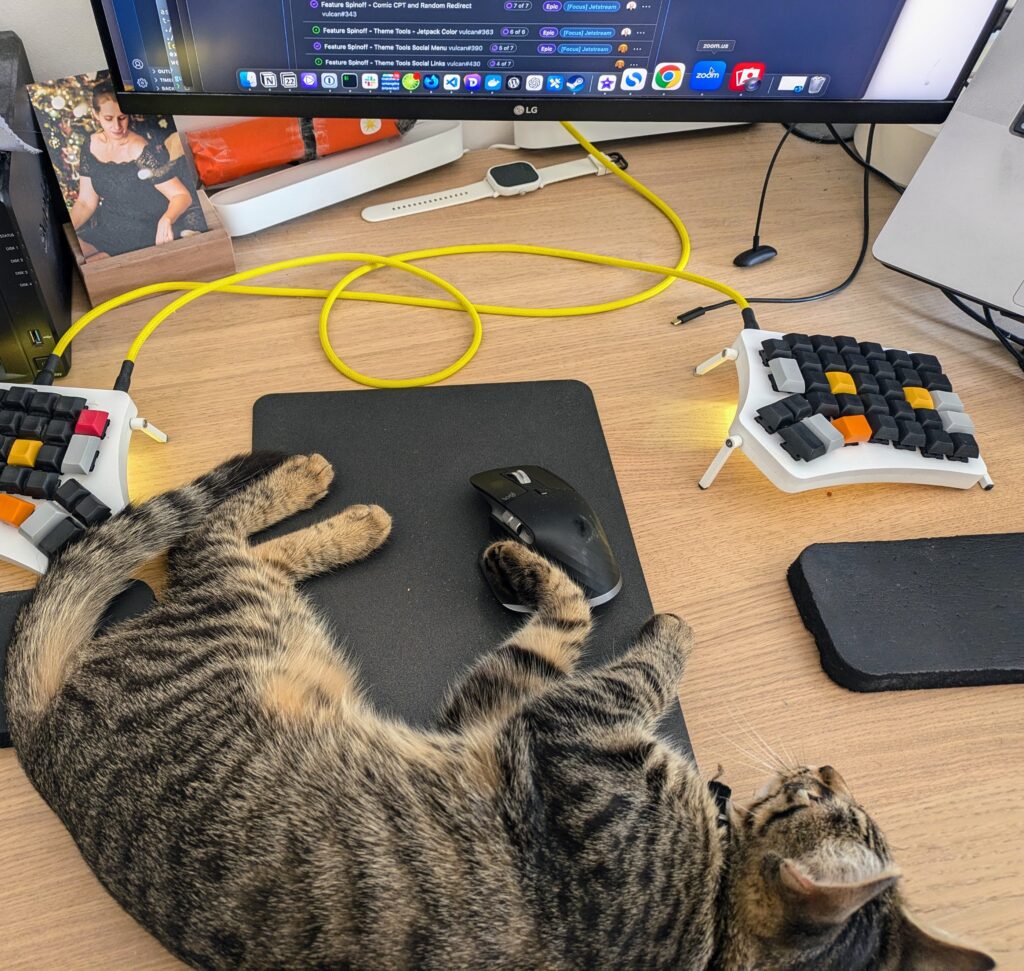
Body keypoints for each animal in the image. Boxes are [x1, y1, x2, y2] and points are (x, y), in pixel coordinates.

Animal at [4, 454, 995, 971]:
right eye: (839, 803)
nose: (825, 766)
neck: (709, 922)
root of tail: (42, 737)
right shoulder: (522, 714)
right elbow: (578, 617)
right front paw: (542, 570)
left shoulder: (556, 725)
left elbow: (599, 636)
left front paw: (653, 616)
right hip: (260, 616)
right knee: (201, 537)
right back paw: (333, 497)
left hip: (252, 618)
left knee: (204, 539)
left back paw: (333, 498)